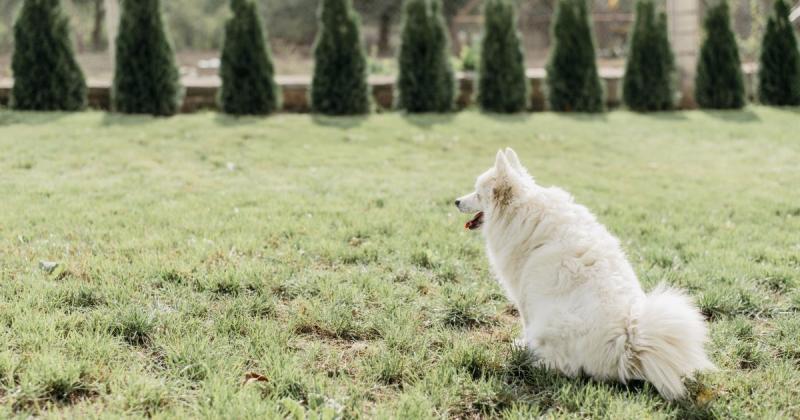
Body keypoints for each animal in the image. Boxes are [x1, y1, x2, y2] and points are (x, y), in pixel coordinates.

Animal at [456, 148, 712, 400]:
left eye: (478, 194)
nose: (456, 200)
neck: (523, 211)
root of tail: (627, 343)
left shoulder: (524, 297)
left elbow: (525, 324)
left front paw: (522, 344)